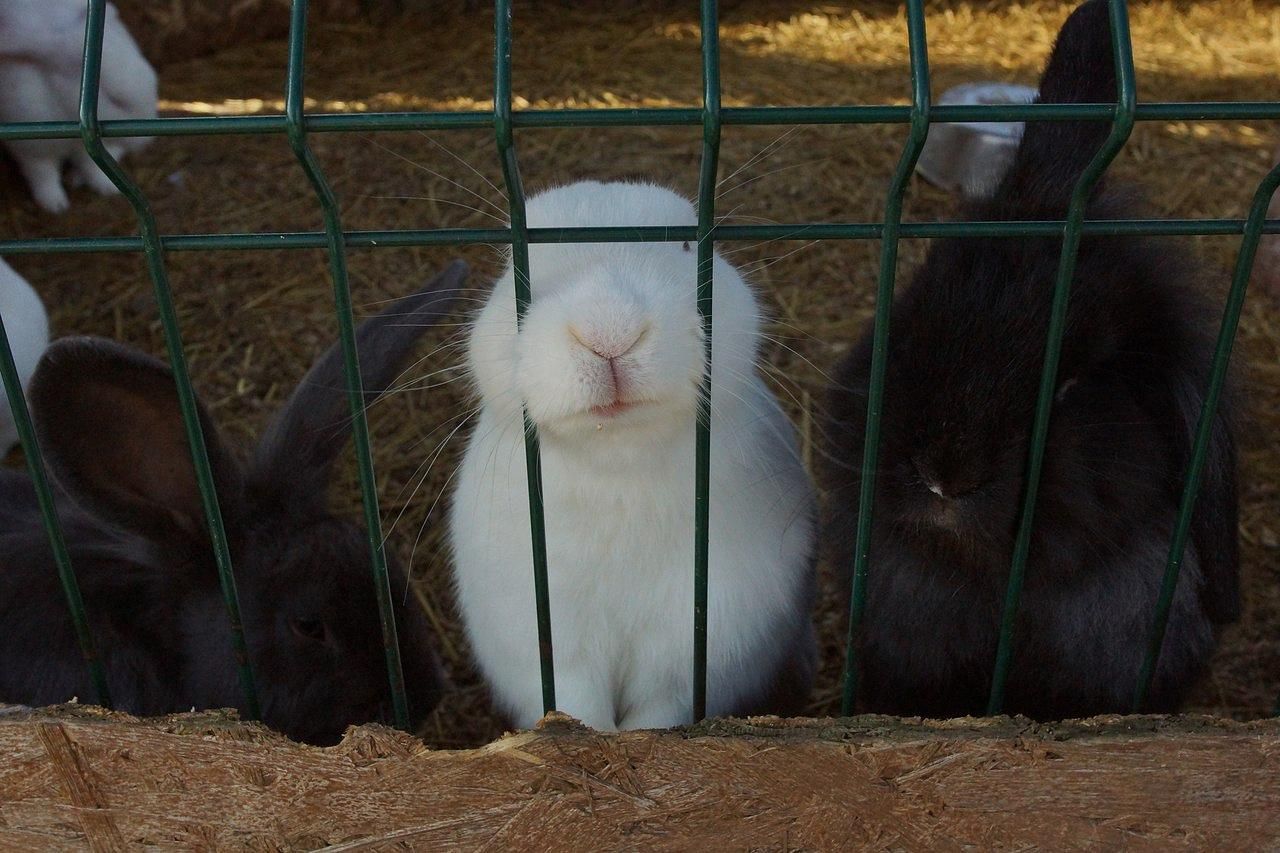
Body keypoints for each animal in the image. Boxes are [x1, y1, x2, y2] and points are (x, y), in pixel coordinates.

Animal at [0, 0, 158, 212]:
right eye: (115, 100)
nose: (145, 141)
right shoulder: (32, 149)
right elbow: (43, 175)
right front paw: (55, 204)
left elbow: (92, 167)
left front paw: (107, 187)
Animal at [445, 180, 814, 732]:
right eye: (515, 263)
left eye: (686, 245)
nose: (609, 332)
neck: (618, 464)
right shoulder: (549, 647)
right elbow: (578, 710)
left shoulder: (691, 654)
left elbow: (654, 721)